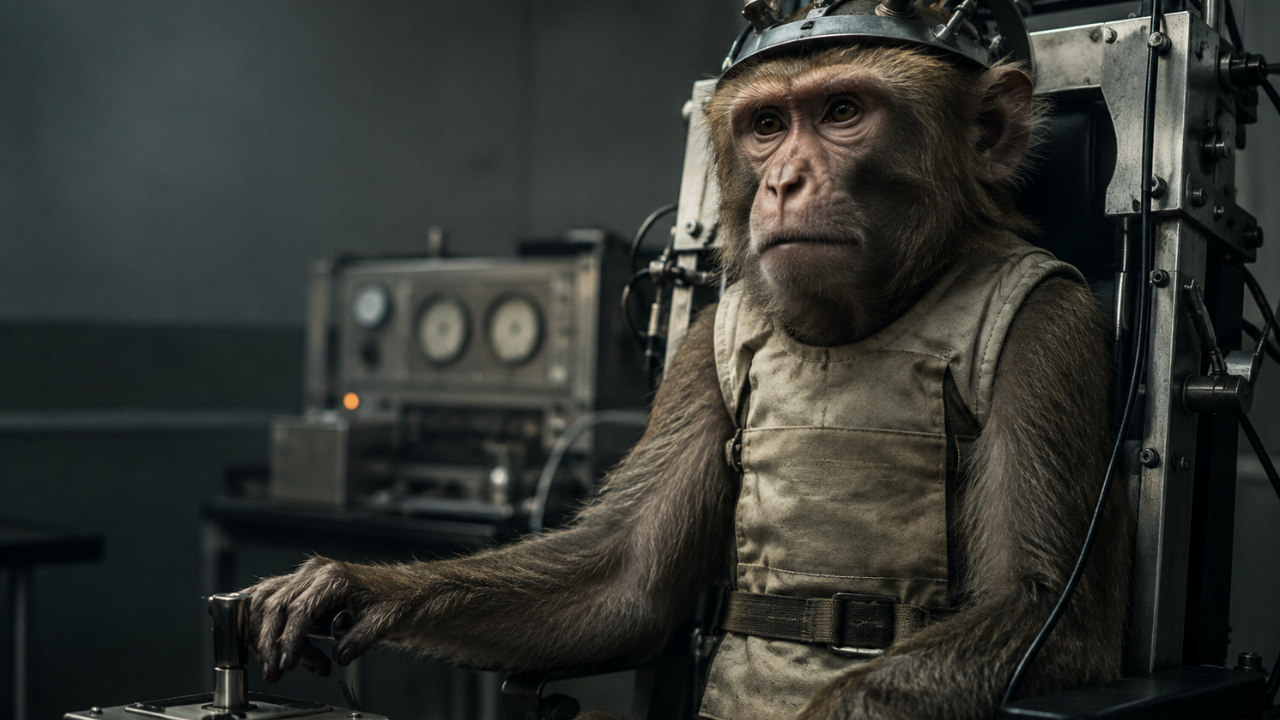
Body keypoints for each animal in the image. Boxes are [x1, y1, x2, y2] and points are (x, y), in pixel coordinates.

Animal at [242, 2, 1133, 718]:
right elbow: (624, 581)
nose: (784, 181)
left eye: (843, 111)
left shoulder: (1053, 329)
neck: (866, 321)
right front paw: (352, 587)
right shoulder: (703, 348)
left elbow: (1044, 612)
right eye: (768, 126)